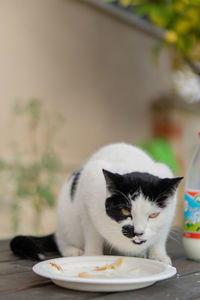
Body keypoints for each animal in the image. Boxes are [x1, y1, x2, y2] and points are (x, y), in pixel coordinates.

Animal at [10, 142, 183, 264]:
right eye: (126, 211)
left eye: (153, 215)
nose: (138, 232)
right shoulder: (87, 193)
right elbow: (92, 234)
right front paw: (92, 256)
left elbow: (159, 238)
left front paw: (159, 257)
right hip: (67, 221)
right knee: (60, 239)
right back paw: (72, 250)